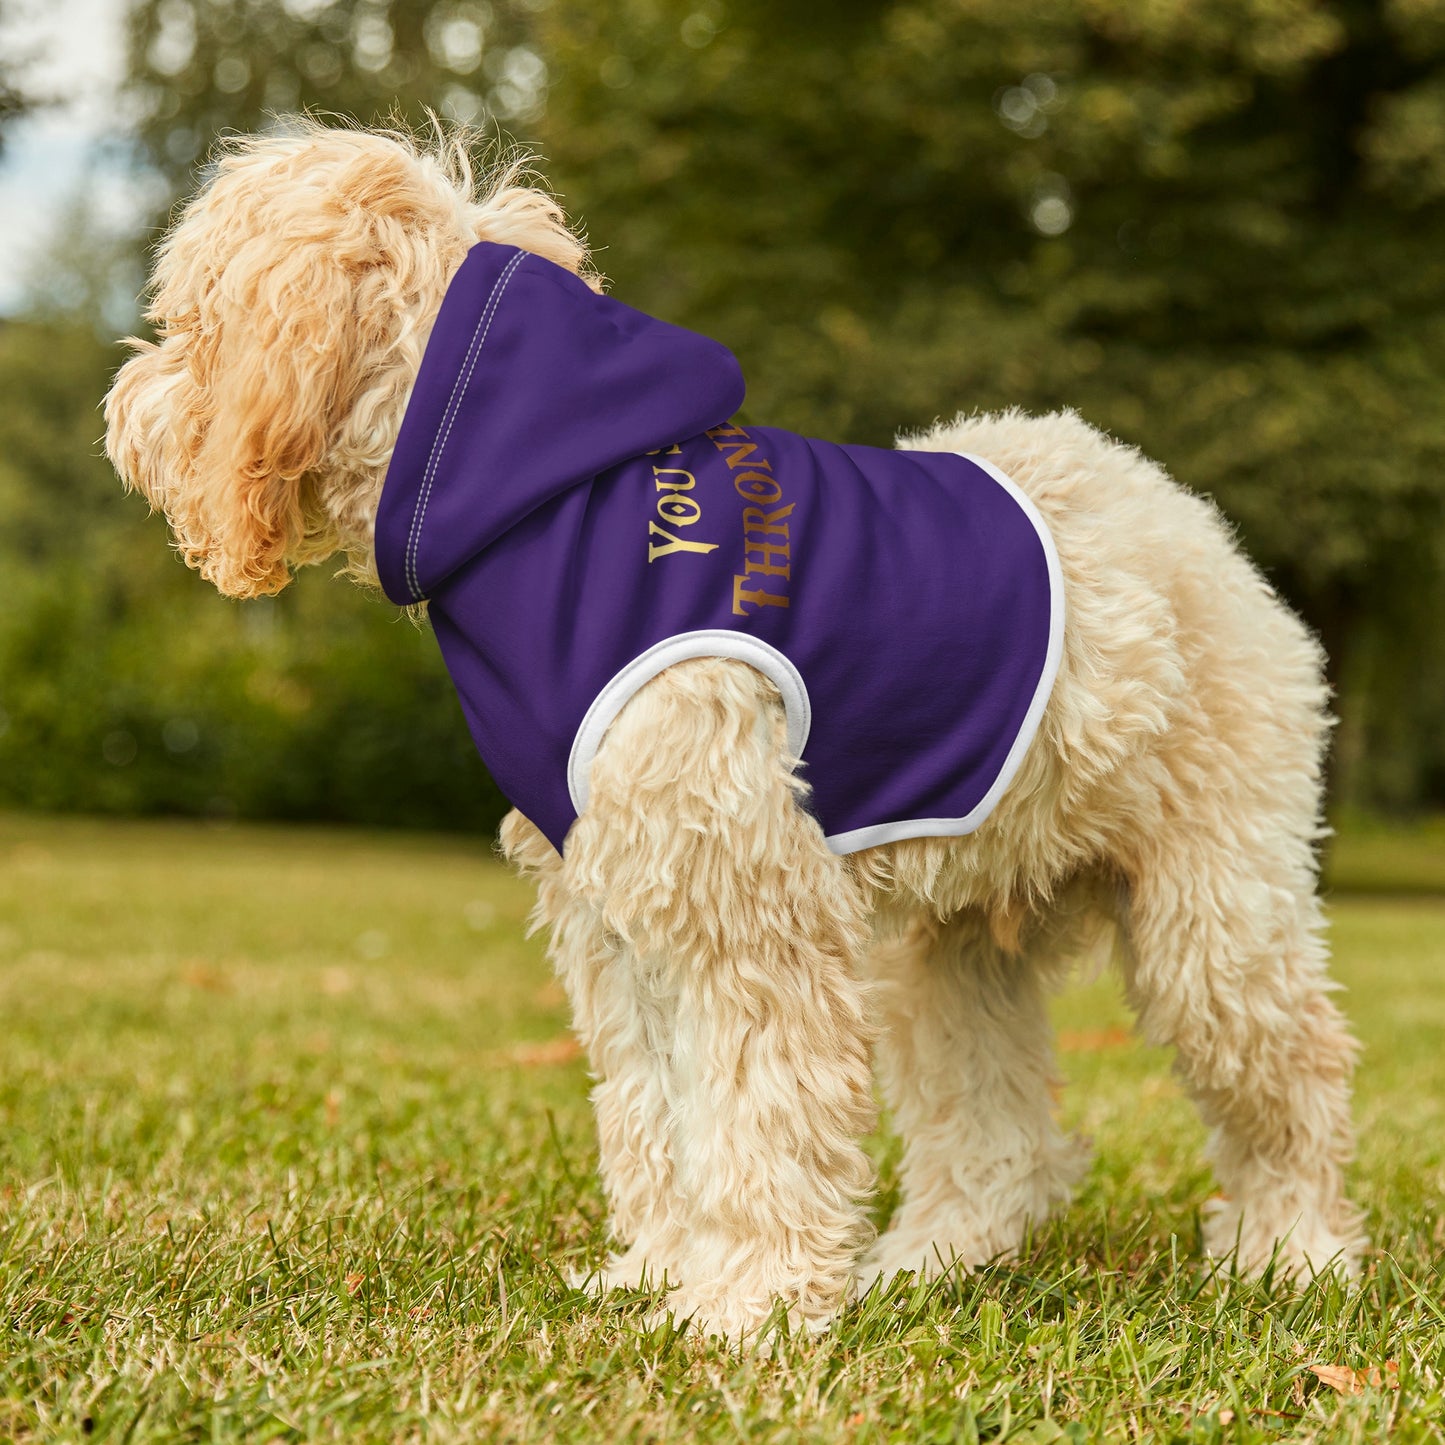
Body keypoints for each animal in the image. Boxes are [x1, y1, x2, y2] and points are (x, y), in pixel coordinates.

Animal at [104, 124, 1364, 1340]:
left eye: (190, 319)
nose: (123, 407)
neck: (547, 502)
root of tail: (1185, 518)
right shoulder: (618, 910)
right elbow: (656, 1111)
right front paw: (662, 1272)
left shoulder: (743, 905)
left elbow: (758, 1112)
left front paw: (747, 1304)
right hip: (949, 948)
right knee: (996, 1133)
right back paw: (929, 1260)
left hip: (1212, 915)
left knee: (1293, 1075)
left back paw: (1290, 1252)